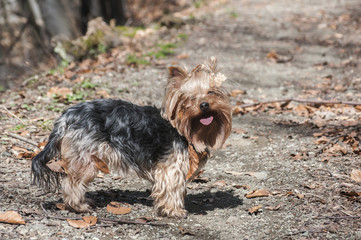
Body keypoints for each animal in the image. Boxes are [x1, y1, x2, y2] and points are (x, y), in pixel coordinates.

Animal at [32, 56, 232, 218]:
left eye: (211, 93)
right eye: (189, 98)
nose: (204, 105)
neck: (184, 129)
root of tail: (66, 117)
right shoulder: (171, 166)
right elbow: (172, 188)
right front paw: (173, 211)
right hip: (84, 157)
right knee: (71, 182)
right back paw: (79, 206)